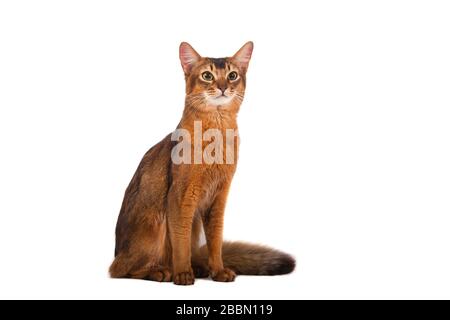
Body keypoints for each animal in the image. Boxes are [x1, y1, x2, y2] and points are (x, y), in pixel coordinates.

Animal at [109, 41, 296, 284]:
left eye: (232, 75)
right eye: (207, 75)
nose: (223, 87)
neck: (216, 134)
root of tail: (117, 251)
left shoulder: (218, 197)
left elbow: (215, 241)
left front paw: (218, 270)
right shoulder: (180, 196)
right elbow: (181, 239)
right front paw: (182, 273)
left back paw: (198, 267)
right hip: (152, 224)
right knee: (120, 270)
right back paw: (161, 271)